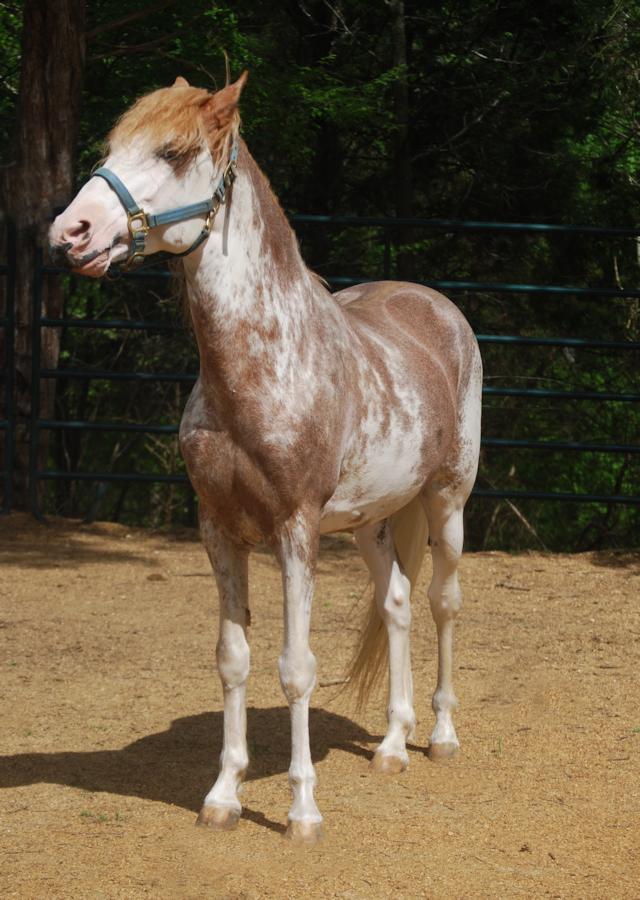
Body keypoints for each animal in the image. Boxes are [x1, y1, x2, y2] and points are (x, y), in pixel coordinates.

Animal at [48, 72, 480, 844]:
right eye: (110, 146)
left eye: (174, 149)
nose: (71, 232)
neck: (256, 370)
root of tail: (435, 306)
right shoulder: (220, 531)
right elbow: (234, 660)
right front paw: (223, 796)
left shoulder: (295, 532)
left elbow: (295, 667)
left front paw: (302, 811)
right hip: (371, 522)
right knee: (397, 603)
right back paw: (393, 747)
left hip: (447, 502)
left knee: (442, 602)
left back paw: (441, 736)